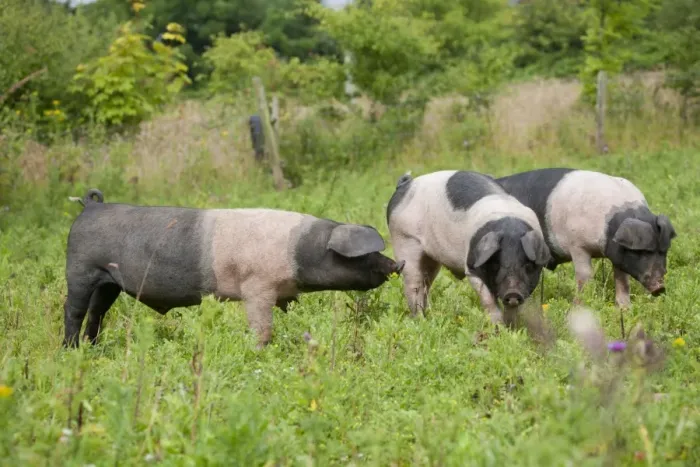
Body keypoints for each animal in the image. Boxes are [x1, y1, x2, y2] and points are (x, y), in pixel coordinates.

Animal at [63, 189, 404, 349]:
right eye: (364, 255)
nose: (398, 263)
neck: (302, 250)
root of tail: (91, 206)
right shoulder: (257, 287)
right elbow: (261, 327)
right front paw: (259, 350)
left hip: (109, 282)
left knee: (97, 312)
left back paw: (93, 347)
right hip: (81, 271)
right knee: (74, 310)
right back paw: (71, 350)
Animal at [386, 170, 551, 325]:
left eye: (528, 265)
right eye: (496, 263)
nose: (513, 293)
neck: (510, 226)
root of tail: (404, 184)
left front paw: (512, 327)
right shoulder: (471, 268)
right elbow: (489, 301)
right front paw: (497, 326)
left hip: (431, 258)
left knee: (426, 283)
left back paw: (428, 316)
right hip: (404, 240)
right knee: (413, 285)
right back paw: (420, 320)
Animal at [495, 168, 677, 308]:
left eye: (663, 251)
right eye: (642, 252)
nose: (660, 287)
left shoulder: (618, 255)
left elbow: (622, 279)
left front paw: (624, 309)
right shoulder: (577, 245)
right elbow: (584, 275)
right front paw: (580, 306)